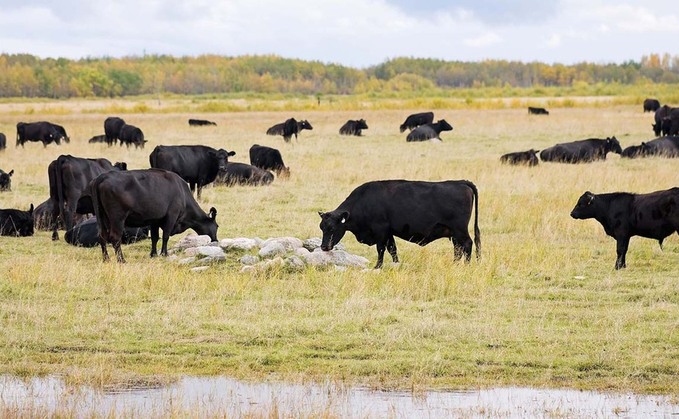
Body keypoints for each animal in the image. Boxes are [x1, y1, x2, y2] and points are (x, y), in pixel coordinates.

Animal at [80, 168, 219, 262]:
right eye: (217, 226)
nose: (216, 241)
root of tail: (101, 177)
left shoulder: (154, 220)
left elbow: (155, 237)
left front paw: (153, 254)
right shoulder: (171, 216)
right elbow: (165, 236)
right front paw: (164, 254)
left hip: (101, 217)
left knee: (102, 236)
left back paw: (106, 259)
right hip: (117, 218)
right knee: (115, 237)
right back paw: (121, 260)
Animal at [318, 180, 478, 270]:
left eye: (332, 227)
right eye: (322, 227)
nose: (324, 247)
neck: (364, 201)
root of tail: (461, 182)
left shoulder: (380, 230)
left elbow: (381, 249)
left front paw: (378, 266)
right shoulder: (389, 233)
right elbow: (392, 249)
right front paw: (396, 264)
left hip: (460, 230)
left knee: (468, 244)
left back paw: (467, 266)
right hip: (454, 233)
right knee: (458, 249)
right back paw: (454, 264)